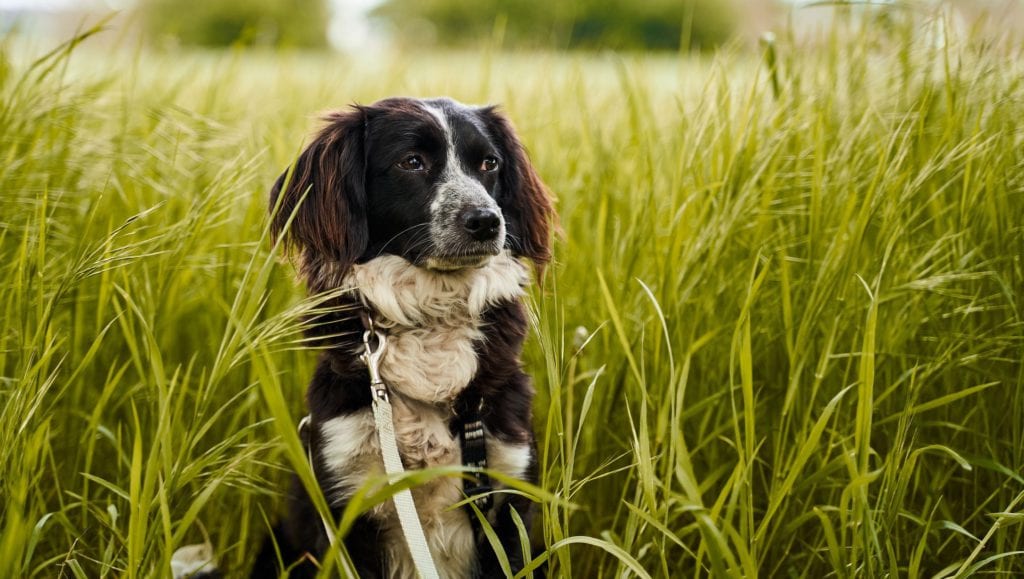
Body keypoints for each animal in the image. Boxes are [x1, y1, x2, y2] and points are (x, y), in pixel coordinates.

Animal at [254, 96, 557, 573]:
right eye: (411, 162)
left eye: (489, 163)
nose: (487, 221)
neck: (431, 319)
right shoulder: (347, 503)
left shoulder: (507, 495)